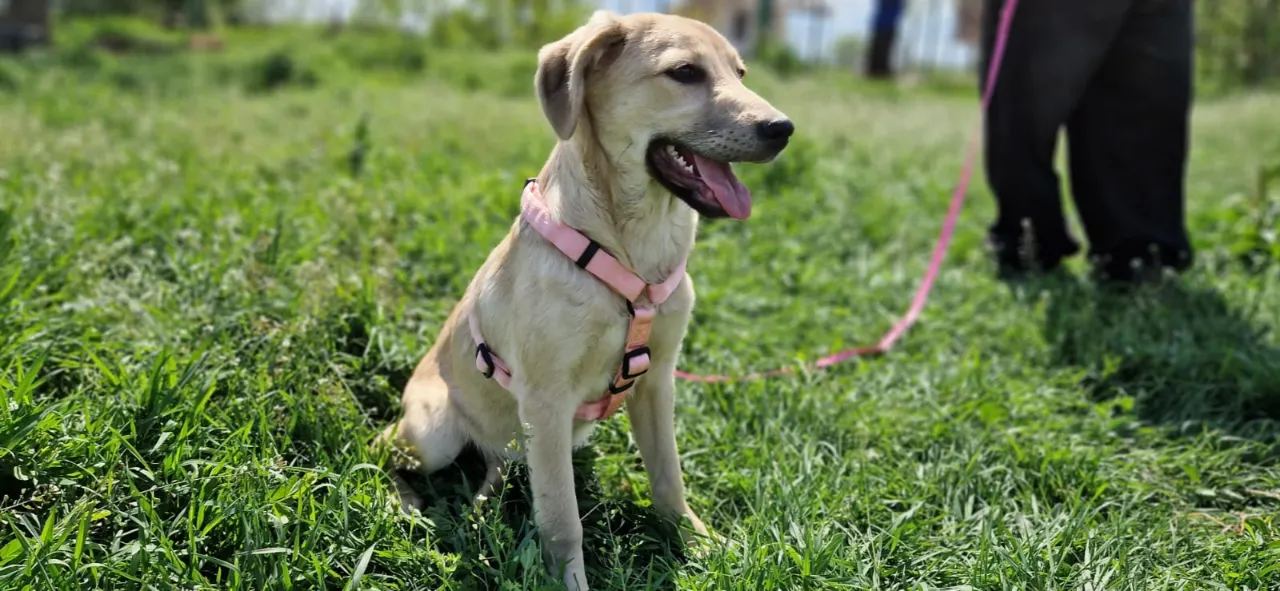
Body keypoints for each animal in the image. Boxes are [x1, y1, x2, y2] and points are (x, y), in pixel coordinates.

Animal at [377, 10, 792, 590]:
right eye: (685, 72)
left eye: (740, 72)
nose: (782, 129)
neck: (633, 249)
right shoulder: (547, 398)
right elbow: (561, 519)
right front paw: (570, 579)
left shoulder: (657, 380)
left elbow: (668, 478)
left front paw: (700, 543)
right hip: (432, 433)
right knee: (384, 447)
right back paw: (409, 504)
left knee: (503, 461)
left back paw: (483, 506)